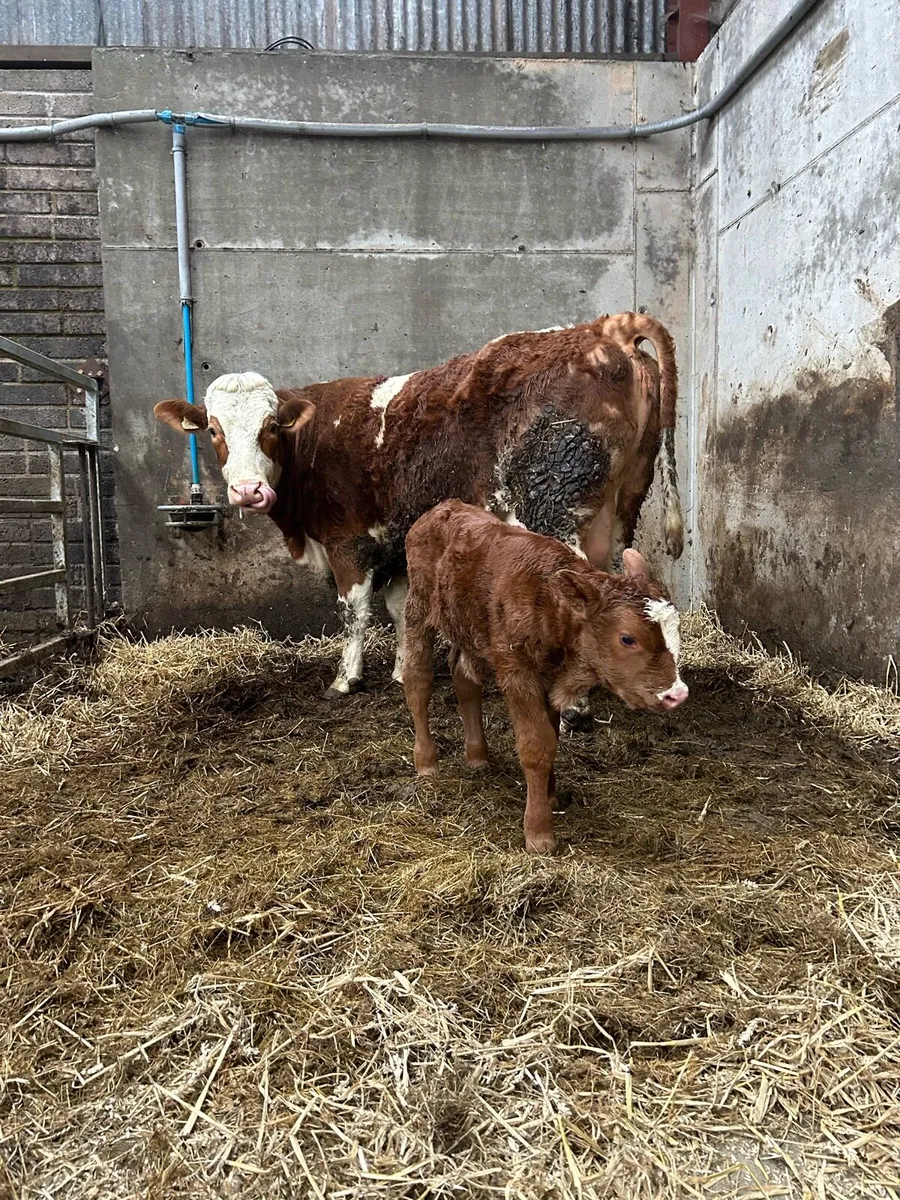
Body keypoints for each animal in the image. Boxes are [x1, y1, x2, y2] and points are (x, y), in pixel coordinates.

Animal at [154, 312, 683, 728]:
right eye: (213, 430)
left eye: (269, 427)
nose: (249, 490)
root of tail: (603, 329)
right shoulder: (401, 545)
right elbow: (402, 608)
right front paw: (403, 670)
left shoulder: (349, 543)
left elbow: (354, 612)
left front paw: (345, 679)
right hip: (621, 509)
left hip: (550, 508)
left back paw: (573, 706)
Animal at [403, 500, 688, 854]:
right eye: (627, 638)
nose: (676, 693)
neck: (551, 604)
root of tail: (443, 508)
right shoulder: (518, 673)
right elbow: (537, 745)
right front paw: (539, 833)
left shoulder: (550, 678)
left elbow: (552, 735)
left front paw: (550, 796)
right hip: (418, 608)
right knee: (418, 679)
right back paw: (426, 761)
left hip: (466, 627)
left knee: (464, 677)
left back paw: (477, 756)